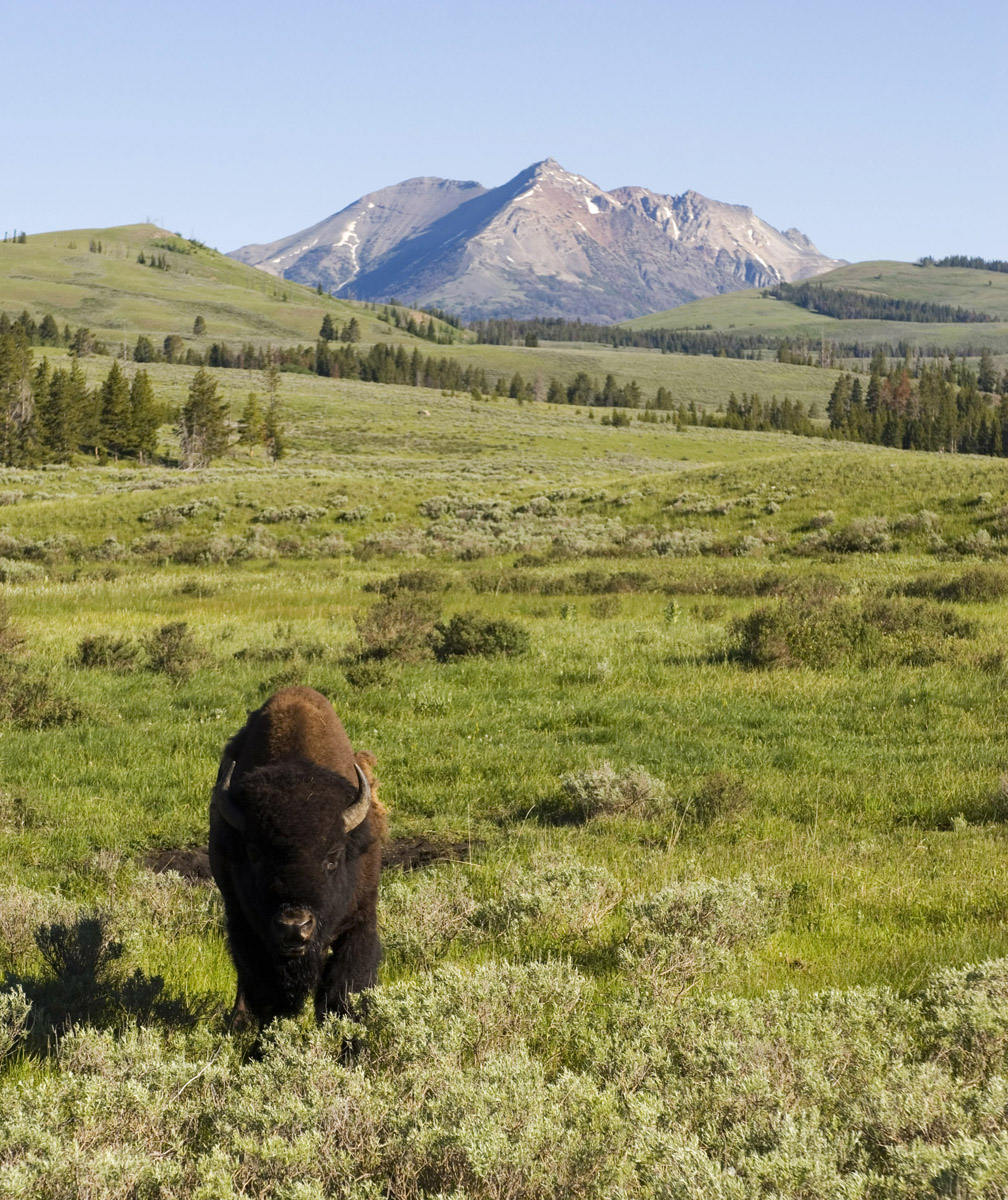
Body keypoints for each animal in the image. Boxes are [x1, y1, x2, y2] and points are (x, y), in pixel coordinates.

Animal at [208, 691, 386, 1027]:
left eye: (332, 857)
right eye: (255, 854)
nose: (294, 926)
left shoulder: (360, 919)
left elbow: (344, 989)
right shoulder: (244, 924)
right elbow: (264, 989)